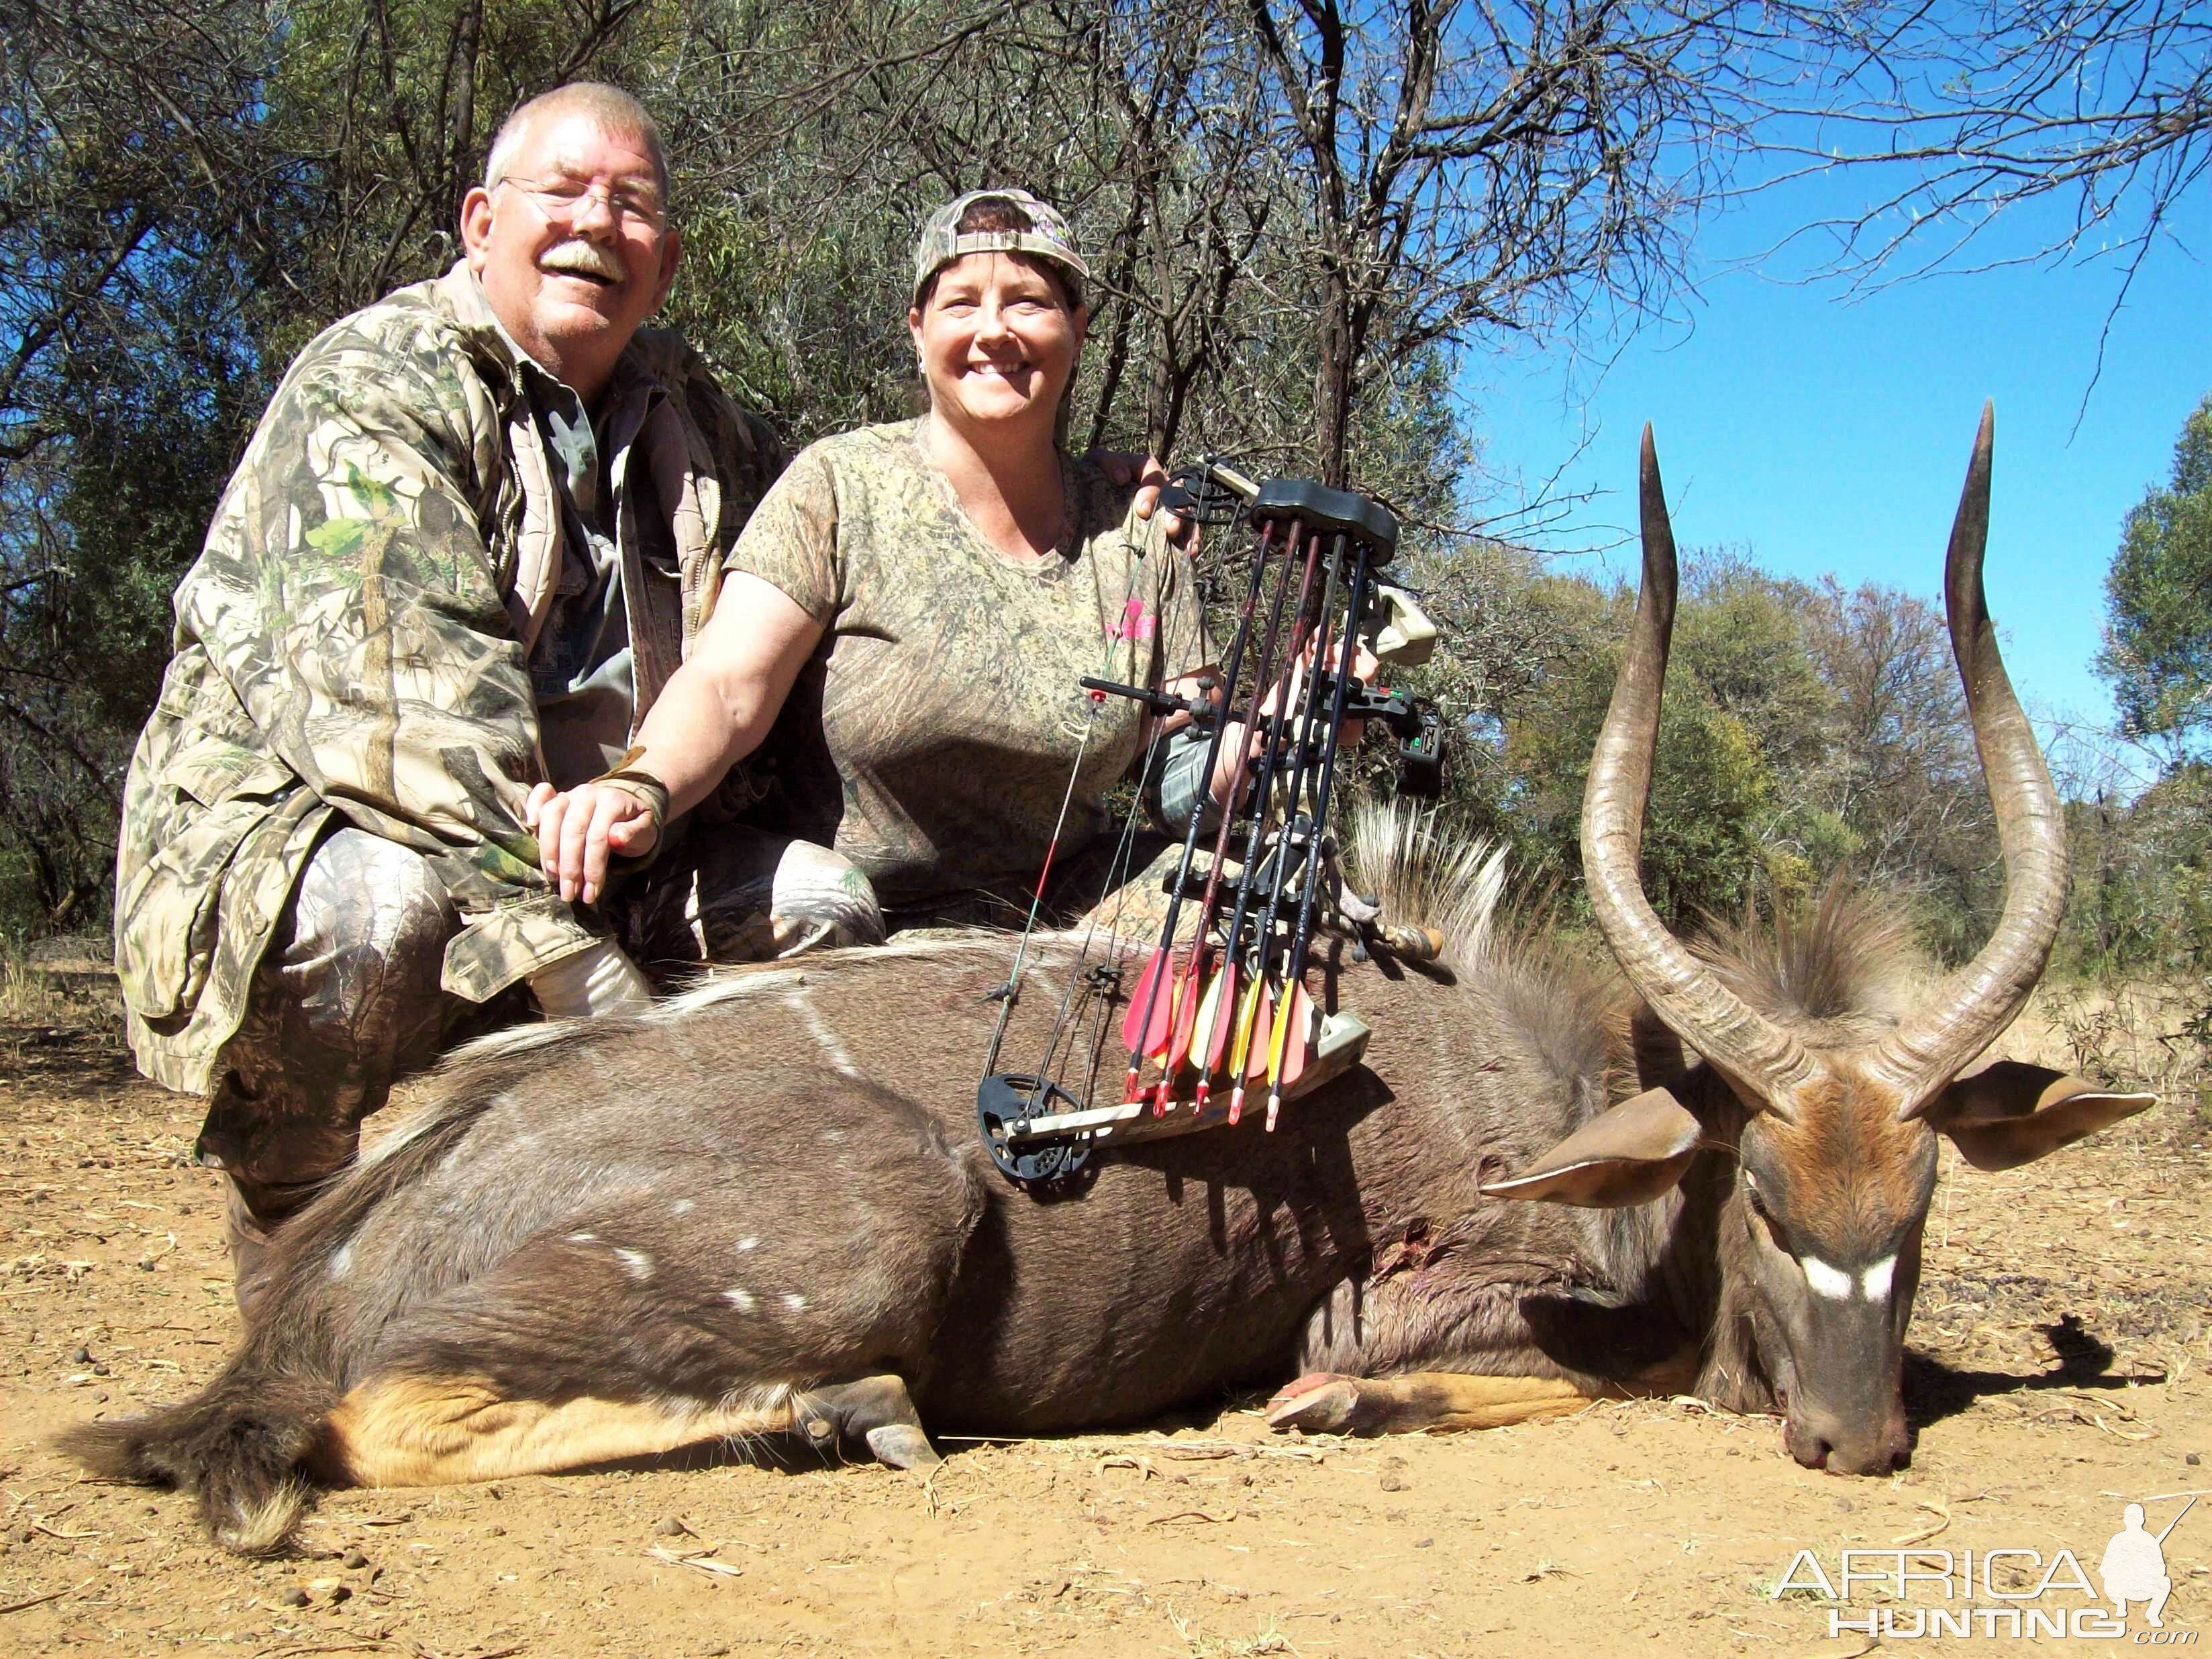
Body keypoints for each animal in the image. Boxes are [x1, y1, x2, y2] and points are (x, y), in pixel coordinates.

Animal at [64, 407, 2141, 1557]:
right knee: (378, 1419)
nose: (1858, 1442)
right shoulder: (1411, 1303)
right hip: (880, 1222)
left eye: (1920, 1210)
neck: (1535, 1082)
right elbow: (1479, 1377)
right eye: (1770, 1203)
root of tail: (322, 1282)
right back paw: (830, 1416)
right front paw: (1334, 1416)